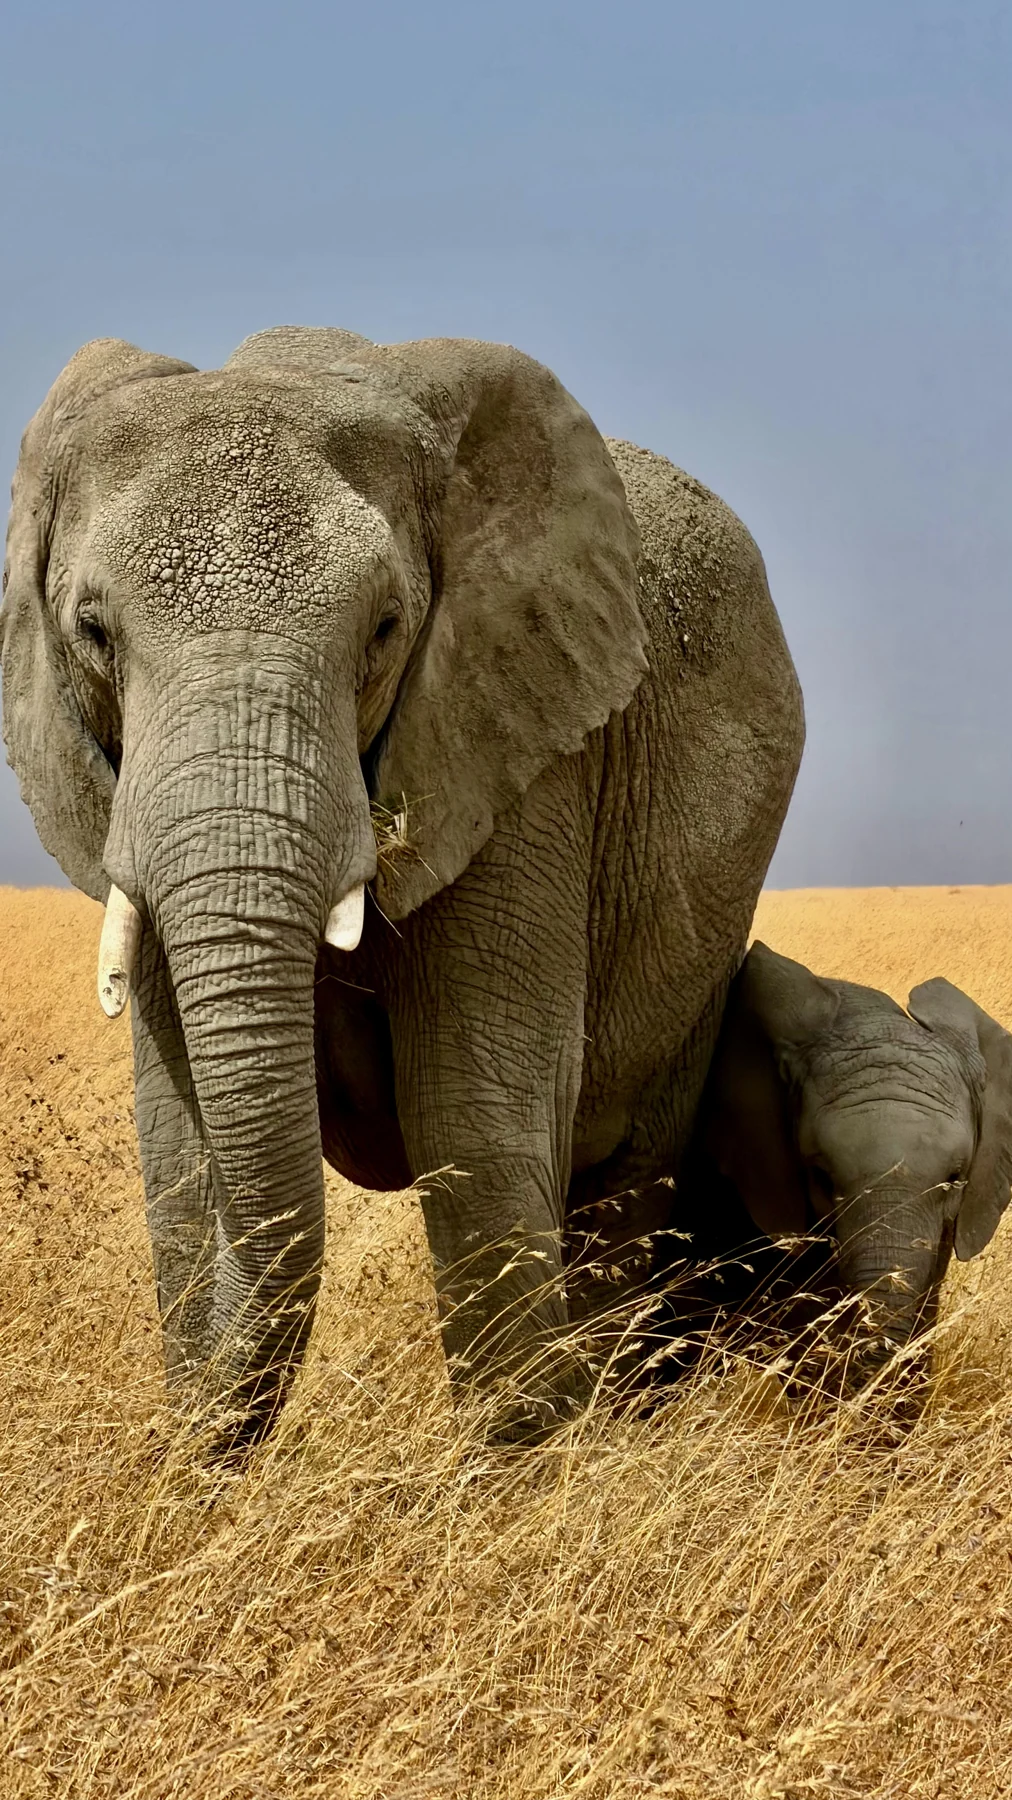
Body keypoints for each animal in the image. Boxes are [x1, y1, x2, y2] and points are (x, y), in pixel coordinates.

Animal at [1, 326, 804, 1445]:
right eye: (92, 632)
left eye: (386, 628)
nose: (184, 1445)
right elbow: (177, 1138)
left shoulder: (520, 740)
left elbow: (475, 1113)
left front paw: (521, 1471)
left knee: (624, 1183)